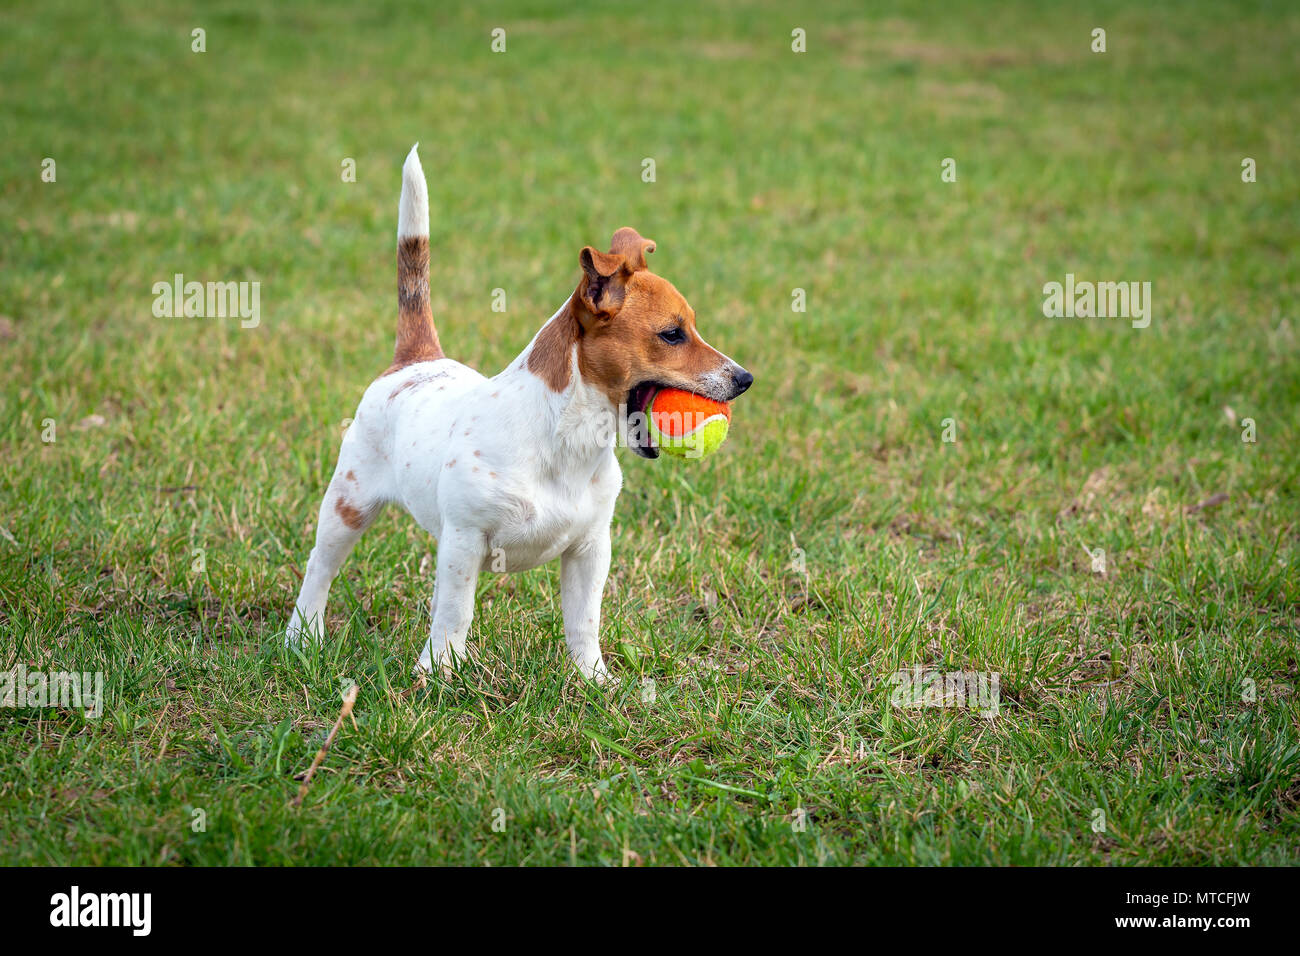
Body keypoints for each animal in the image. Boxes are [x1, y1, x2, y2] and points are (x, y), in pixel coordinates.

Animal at [284, 143, 754, 681]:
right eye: (672, 334)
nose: (745, 379)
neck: (568, 439)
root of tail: (416, 359)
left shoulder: (591, 549)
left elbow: (584, 622)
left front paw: (595, 681)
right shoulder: (465, 541)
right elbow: (455, 613)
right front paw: (438, 677)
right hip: (348, 505)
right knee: (320, 568)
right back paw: (302, 638)